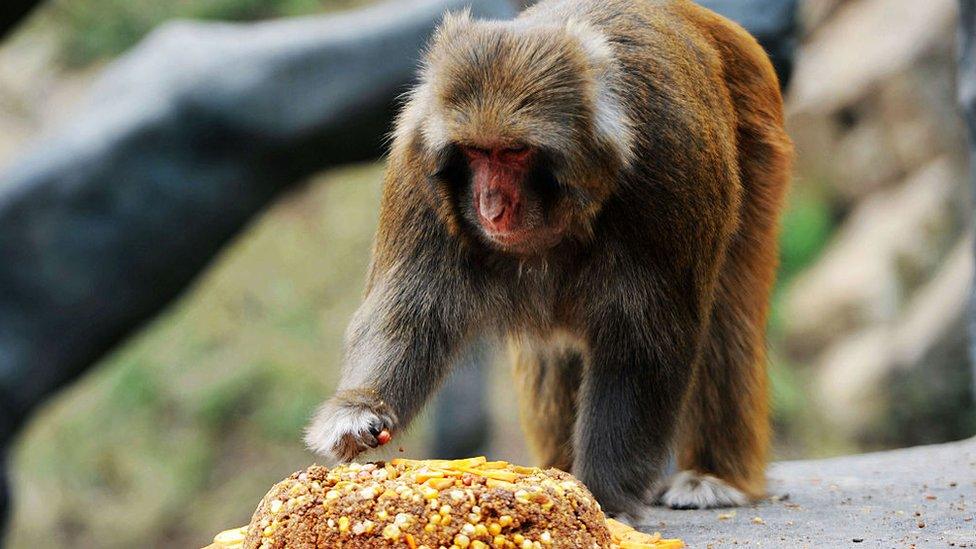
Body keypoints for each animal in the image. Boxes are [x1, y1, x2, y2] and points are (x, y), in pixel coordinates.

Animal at [304, 0, 792, 520]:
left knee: (725, 316)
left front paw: (603, 494)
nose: (491, 205)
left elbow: (645, 339)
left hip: (759, 143)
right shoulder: (416, 159)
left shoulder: (673, 162)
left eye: (515, 151)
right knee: (550, 352)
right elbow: (412, 307)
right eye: (476, 151)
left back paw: (714, 476)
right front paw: (360, 411)